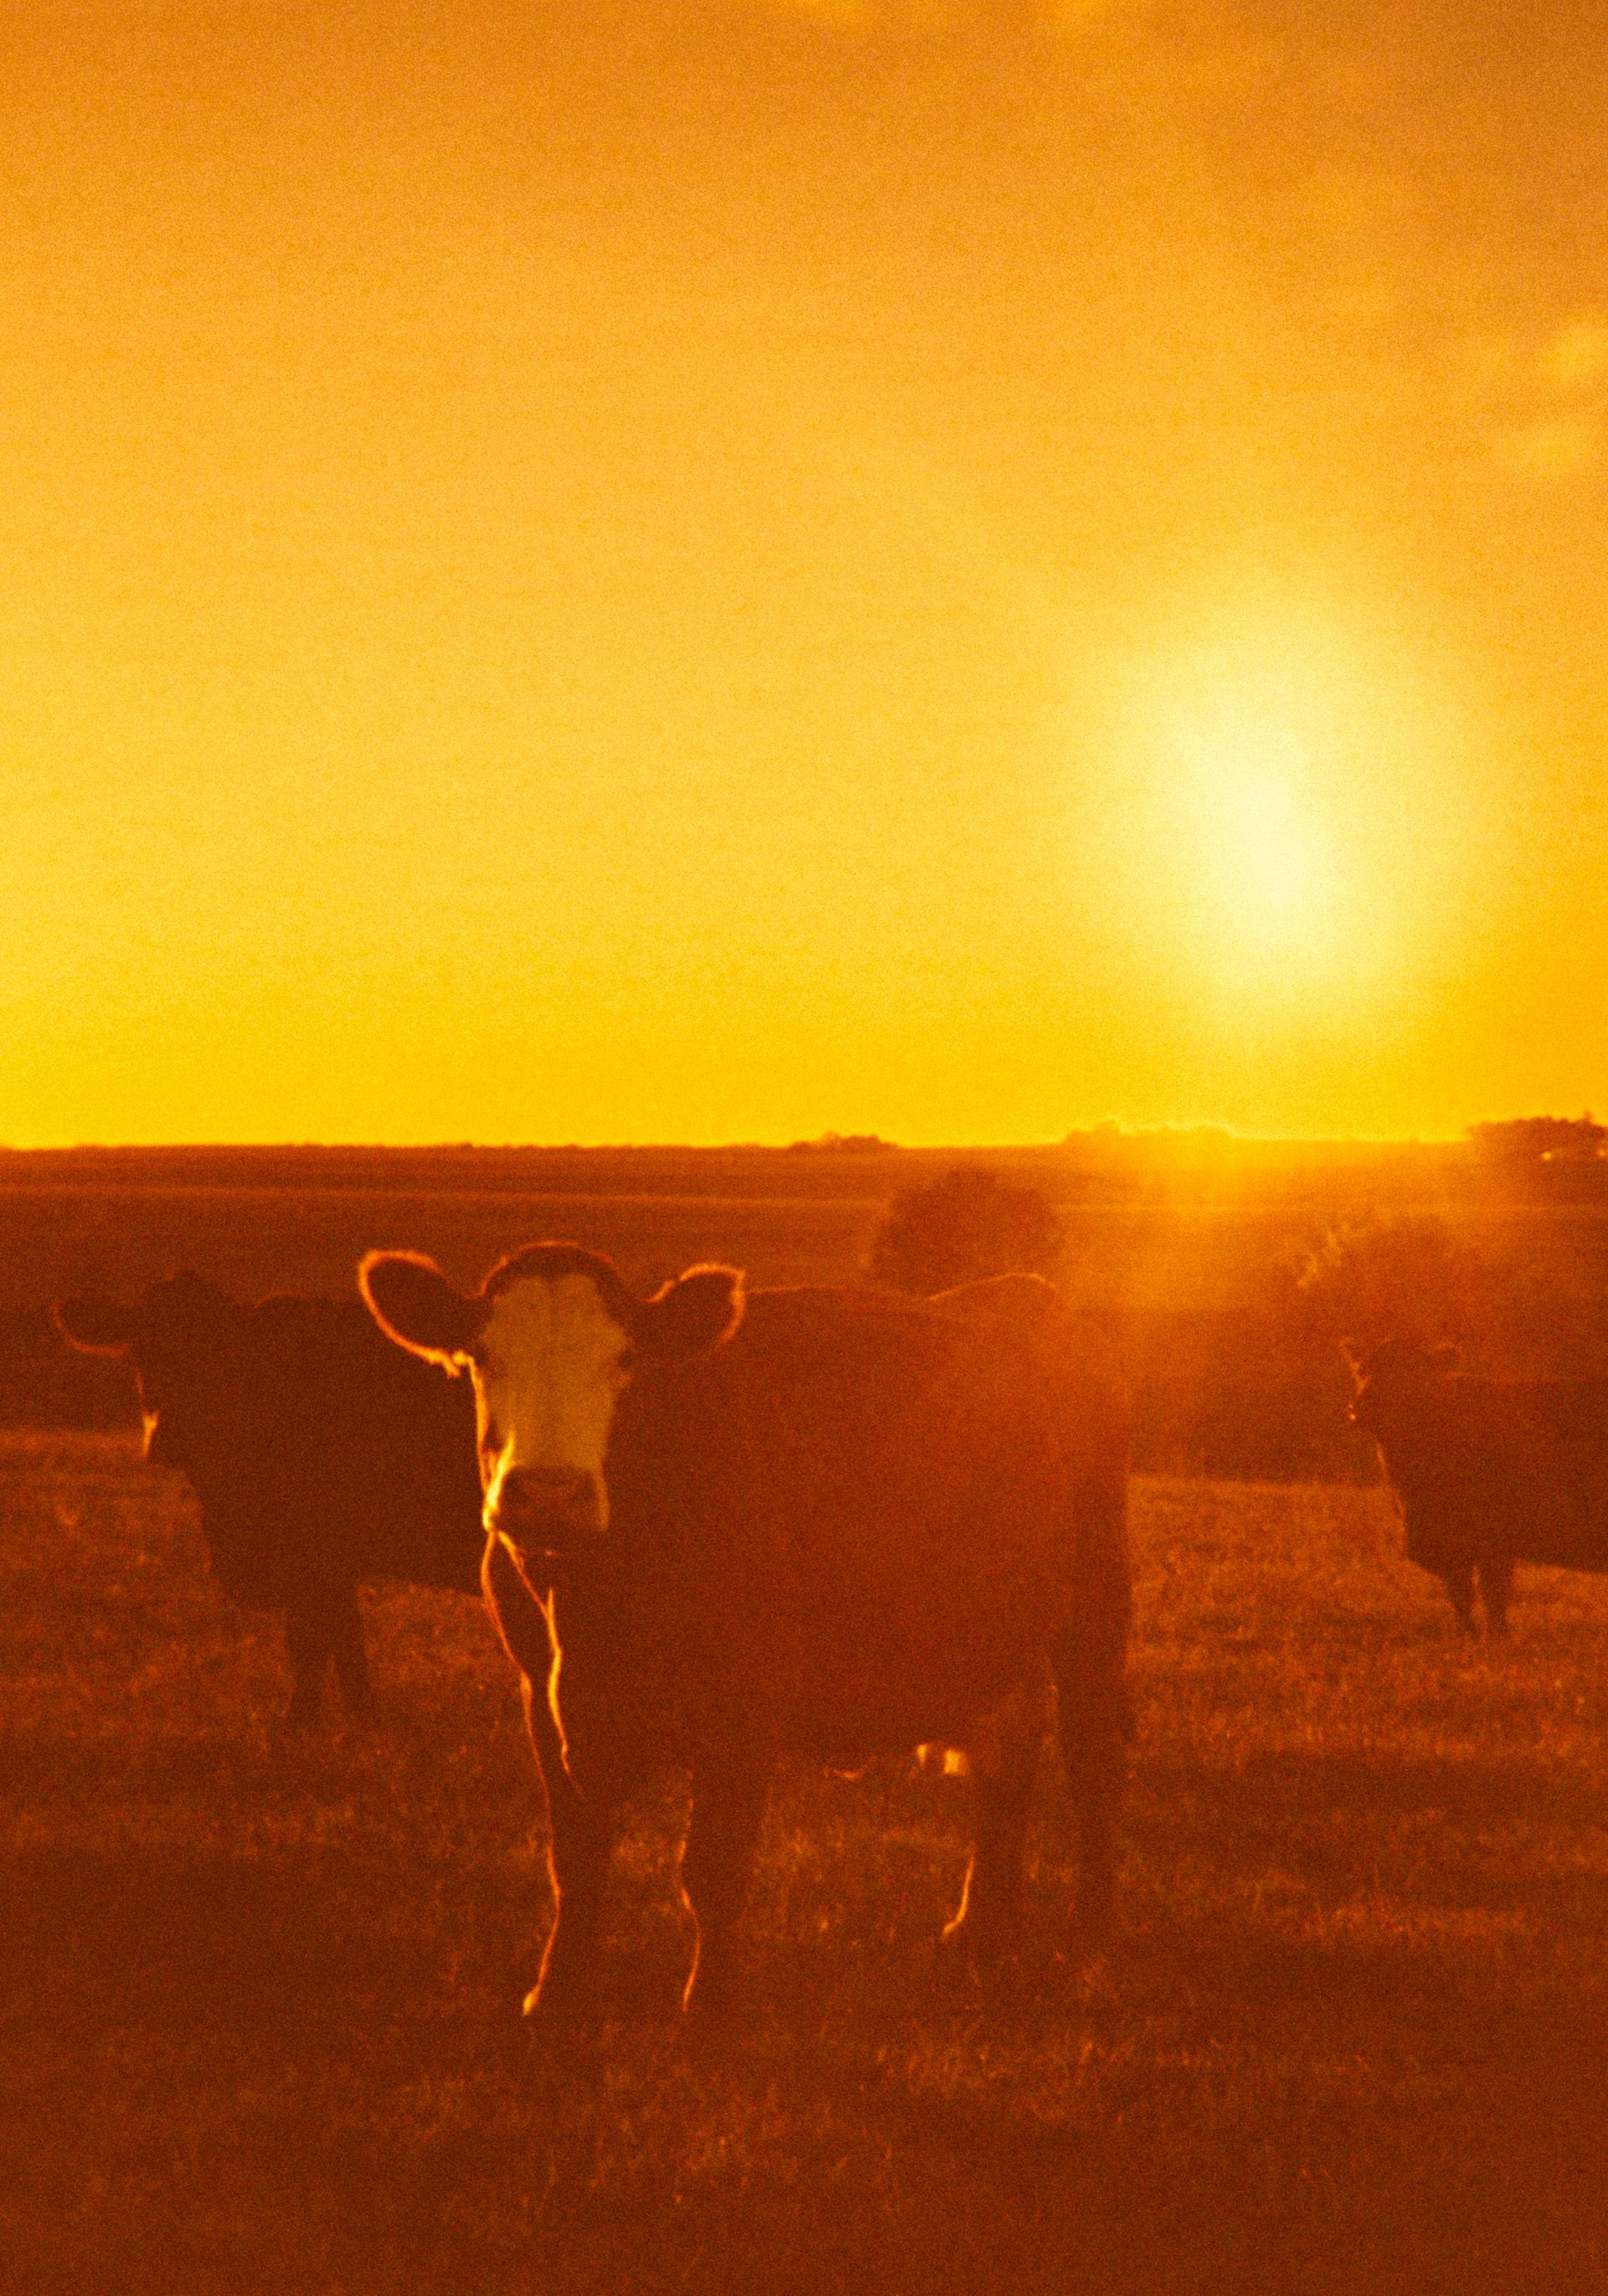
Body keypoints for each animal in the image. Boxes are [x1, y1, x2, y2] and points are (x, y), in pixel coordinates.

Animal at [53, 1272, 483, 1725]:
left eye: (222, 1362)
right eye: (142, 1353)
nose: (166, 1437)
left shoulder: (318, 1557)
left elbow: (316, 1642)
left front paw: (307, 1724)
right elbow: (340, 1641)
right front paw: (353, 1720)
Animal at [357, 1241, 1132, 2025]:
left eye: (626, 1358)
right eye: (481, 1357)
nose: (549, 1492)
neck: (590, 1607)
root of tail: (1023, 1296)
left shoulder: (745, 1706)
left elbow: (713, 1871)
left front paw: (710, 2014)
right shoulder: (540, 1693)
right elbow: (574, 1858)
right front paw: (556, 1996)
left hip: (1093, 1602)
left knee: (1093, 1756)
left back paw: (1090, 1934)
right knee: (1007, 1750)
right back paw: (980, 1929)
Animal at [1346, 1336, 1608, 1633]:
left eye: (1411, 1372)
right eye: (1361, 1371)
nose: (1362, 1407)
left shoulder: (1494, 1545)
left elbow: (1493, 1599)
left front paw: (1496, 1638)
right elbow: (1461, 1598)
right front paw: (1467, 1635)